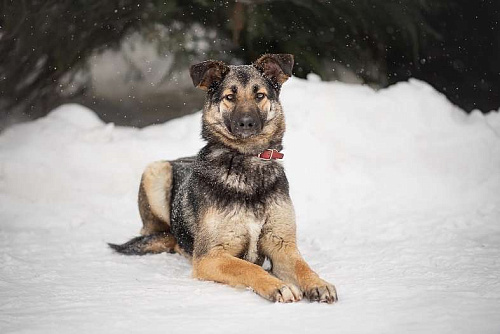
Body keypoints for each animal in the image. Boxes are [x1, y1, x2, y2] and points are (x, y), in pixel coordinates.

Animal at [108, 54, 336, 302]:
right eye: (230, 97)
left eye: (259, 95)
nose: (246, 122)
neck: (246, 161)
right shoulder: (210, 256)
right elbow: (248, 267)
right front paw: (278, 286)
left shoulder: (282, 245)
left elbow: (302, 266)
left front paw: (318, 283)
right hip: (156, 170)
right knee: (155, 233)